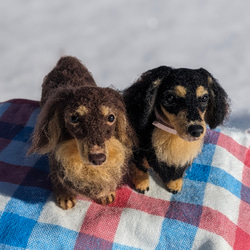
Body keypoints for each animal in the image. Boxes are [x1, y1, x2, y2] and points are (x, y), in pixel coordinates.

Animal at [28, 56, 136, 209]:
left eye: (111, 117)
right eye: (74, 118)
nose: (98, 159)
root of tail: (67, 59)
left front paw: (105, 193)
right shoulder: (54, 156)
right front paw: (65, 195)